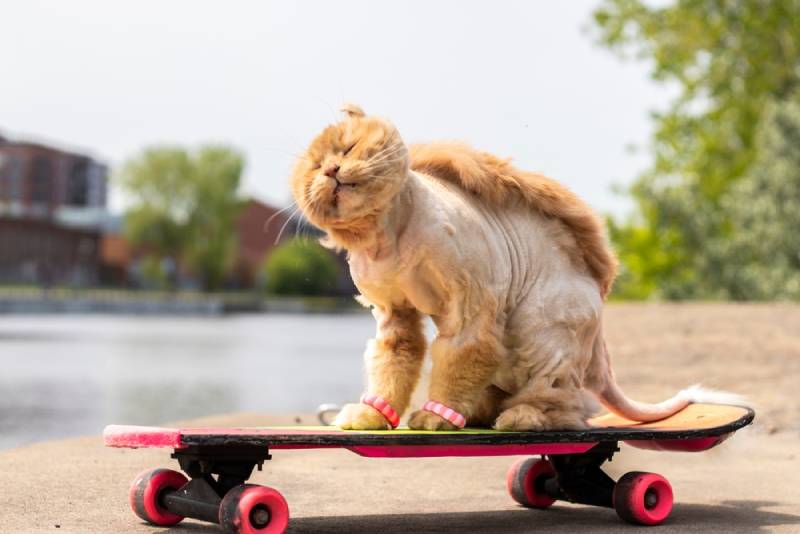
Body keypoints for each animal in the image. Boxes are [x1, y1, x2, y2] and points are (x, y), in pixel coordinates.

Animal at [290, 104, 740, 432]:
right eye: (313, 170)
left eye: (347, 148)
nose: (330, 170)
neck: (387, 237)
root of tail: (597, 342)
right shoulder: (394, 315)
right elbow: (392, 364)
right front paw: (371, 416)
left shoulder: (471, 306)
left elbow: (456, 359)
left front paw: (435, 416)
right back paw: (477, 413)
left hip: (541, 327)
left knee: (567, 402)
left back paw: (521, 417)